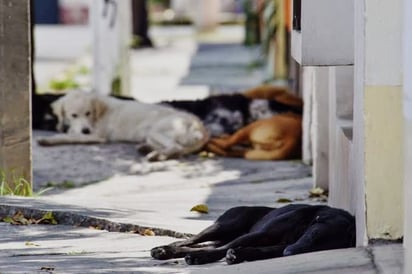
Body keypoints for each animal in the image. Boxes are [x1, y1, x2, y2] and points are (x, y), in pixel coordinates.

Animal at [36, 91, 209, 161]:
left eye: (88, 113)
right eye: (73, 115)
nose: (86, 130)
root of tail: (200, 126)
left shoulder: (97, 136)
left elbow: (71, 136)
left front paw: (49, 140)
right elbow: (72, 132)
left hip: (156, 131)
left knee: (176, 147)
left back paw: (155, 155)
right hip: (151, 135)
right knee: (177, 149)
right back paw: (148, 149)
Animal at [150, 203, 354, 266]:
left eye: (321, 248)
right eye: (314, 235)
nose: (288, 254)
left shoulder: (277, 247)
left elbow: (257, 252)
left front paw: (239, 255)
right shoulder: (261, 234)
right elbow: (227, 248)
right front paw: (201, 258)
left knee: (202, 245)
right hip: (225, 225)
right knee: (192, 240)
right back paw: (163, 249)